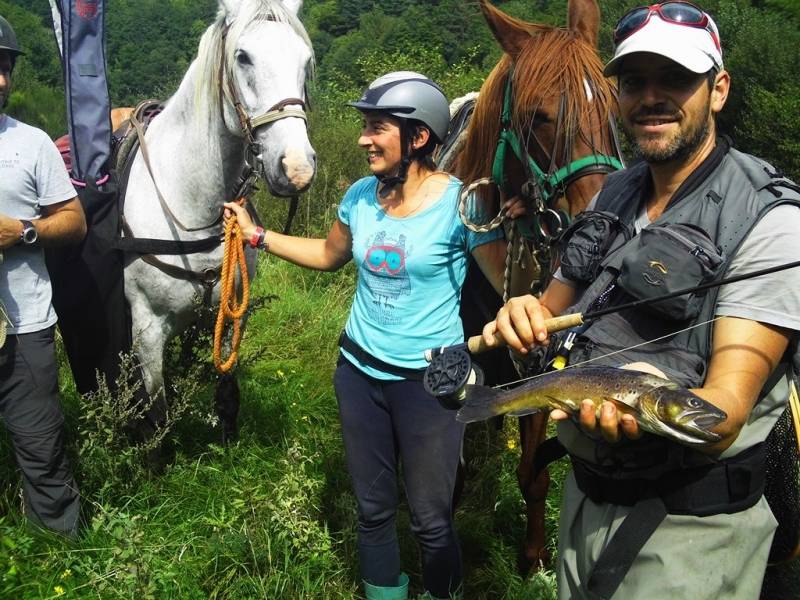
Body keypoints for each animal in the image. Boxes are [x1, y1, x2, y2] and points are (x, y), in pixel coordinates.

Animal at [122, 0, 316, 400]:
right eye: (243, 57)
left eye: (305, 60)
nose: (297, 168)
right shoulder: (147, 334)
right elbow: (157, 406)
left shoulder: (227, 318)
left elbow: (227, 393)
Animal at [454, 0, 620, 576]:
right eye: (536, 117)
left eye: (612, 104)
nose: (601, 220)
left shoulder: (540, 369)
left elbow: (533, 472)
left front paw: (532, 556)